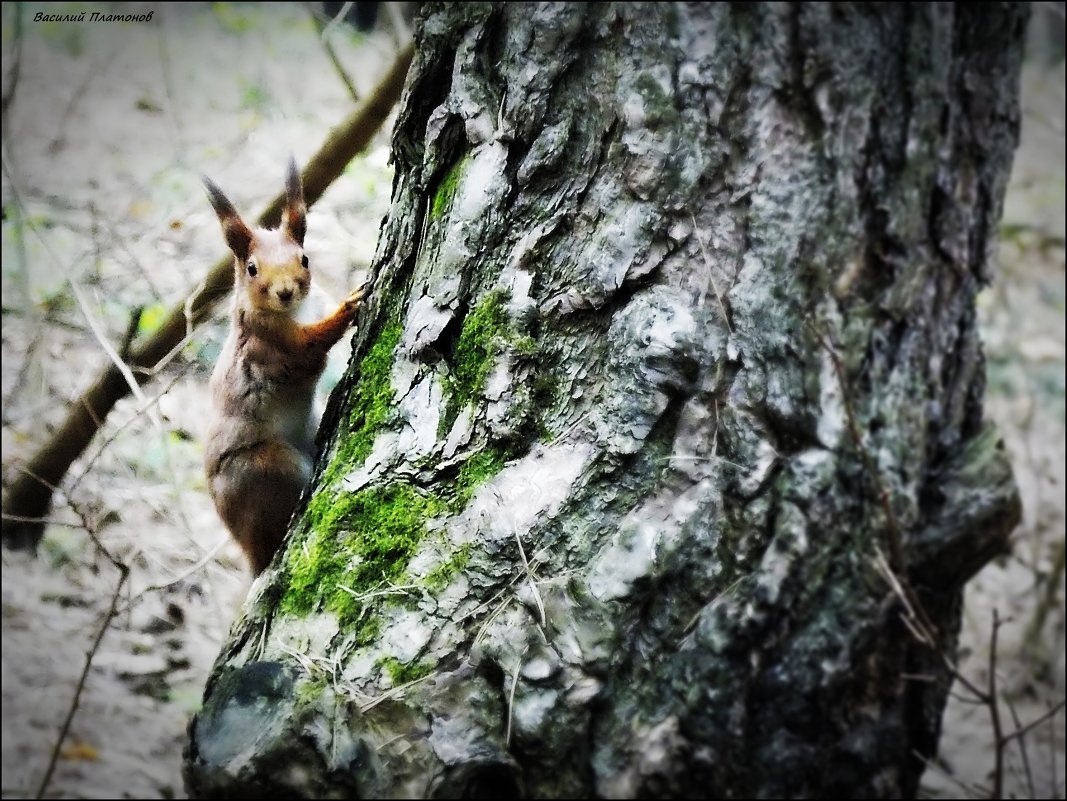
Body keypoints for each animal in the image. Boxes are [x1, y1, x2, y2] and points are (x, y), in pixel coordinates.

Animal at [201, 157, 364, 575]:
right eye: (252, 268)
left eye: (304, 259)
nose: (286, 291)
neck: (292, 312)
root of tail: (248, 546)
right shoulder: (271, 346)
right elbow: (309, 348)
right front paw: (349, 306)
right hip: (269, 468)